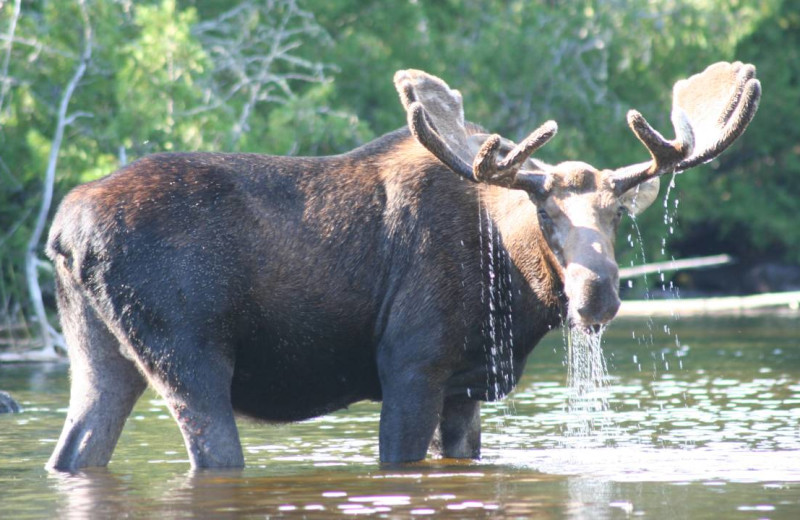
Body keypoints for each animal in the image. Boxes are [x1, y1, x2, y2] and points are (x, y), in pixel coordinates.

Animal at [47, 62, 760, 472]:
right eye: (545, 213)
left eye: (616, 215)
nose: (597, 296)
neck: (513, 296)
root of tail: (61, 232)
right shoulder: (411, 364)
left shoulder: (465, 383)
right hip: (188, 350)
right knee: (210, 452)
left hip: (100, 349)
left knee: (76, 449)